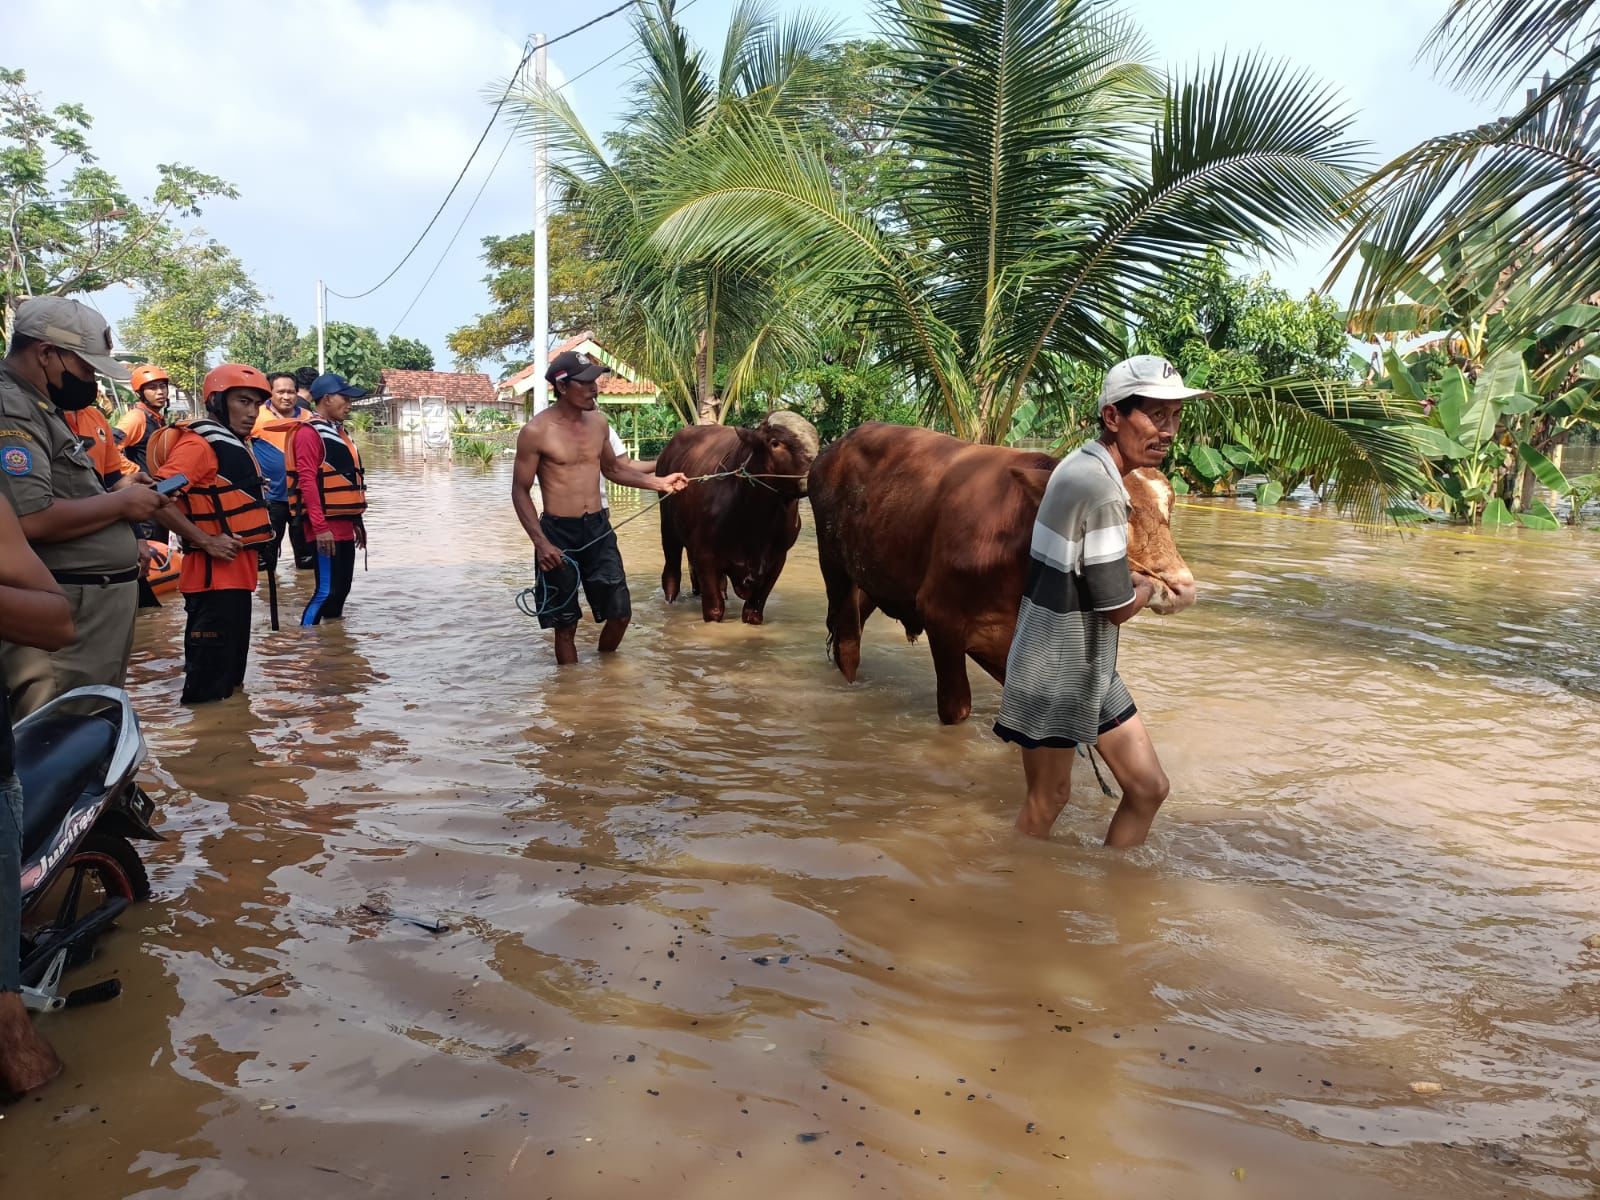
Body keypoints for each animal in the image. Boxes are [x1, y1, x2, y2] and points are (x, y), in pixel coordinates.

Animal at [656, 412, 819, 624]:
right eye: (775, 443)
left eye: (817, 442)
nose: (814, 474)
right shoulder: (705, 555)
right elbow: (714, 609)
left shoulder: (777, 560)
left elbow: (753, 612)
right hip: (669, 532)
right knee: (671, 576)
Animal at [806, 425, 1196, 723]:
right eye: (1116, 512)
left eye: (1170, 507)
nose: (1182, 587)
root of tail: (834, 448)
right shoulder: (940, 617)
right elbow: (957, 708)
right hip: (835, 570)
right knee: (847, 643)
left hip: (873, 578)